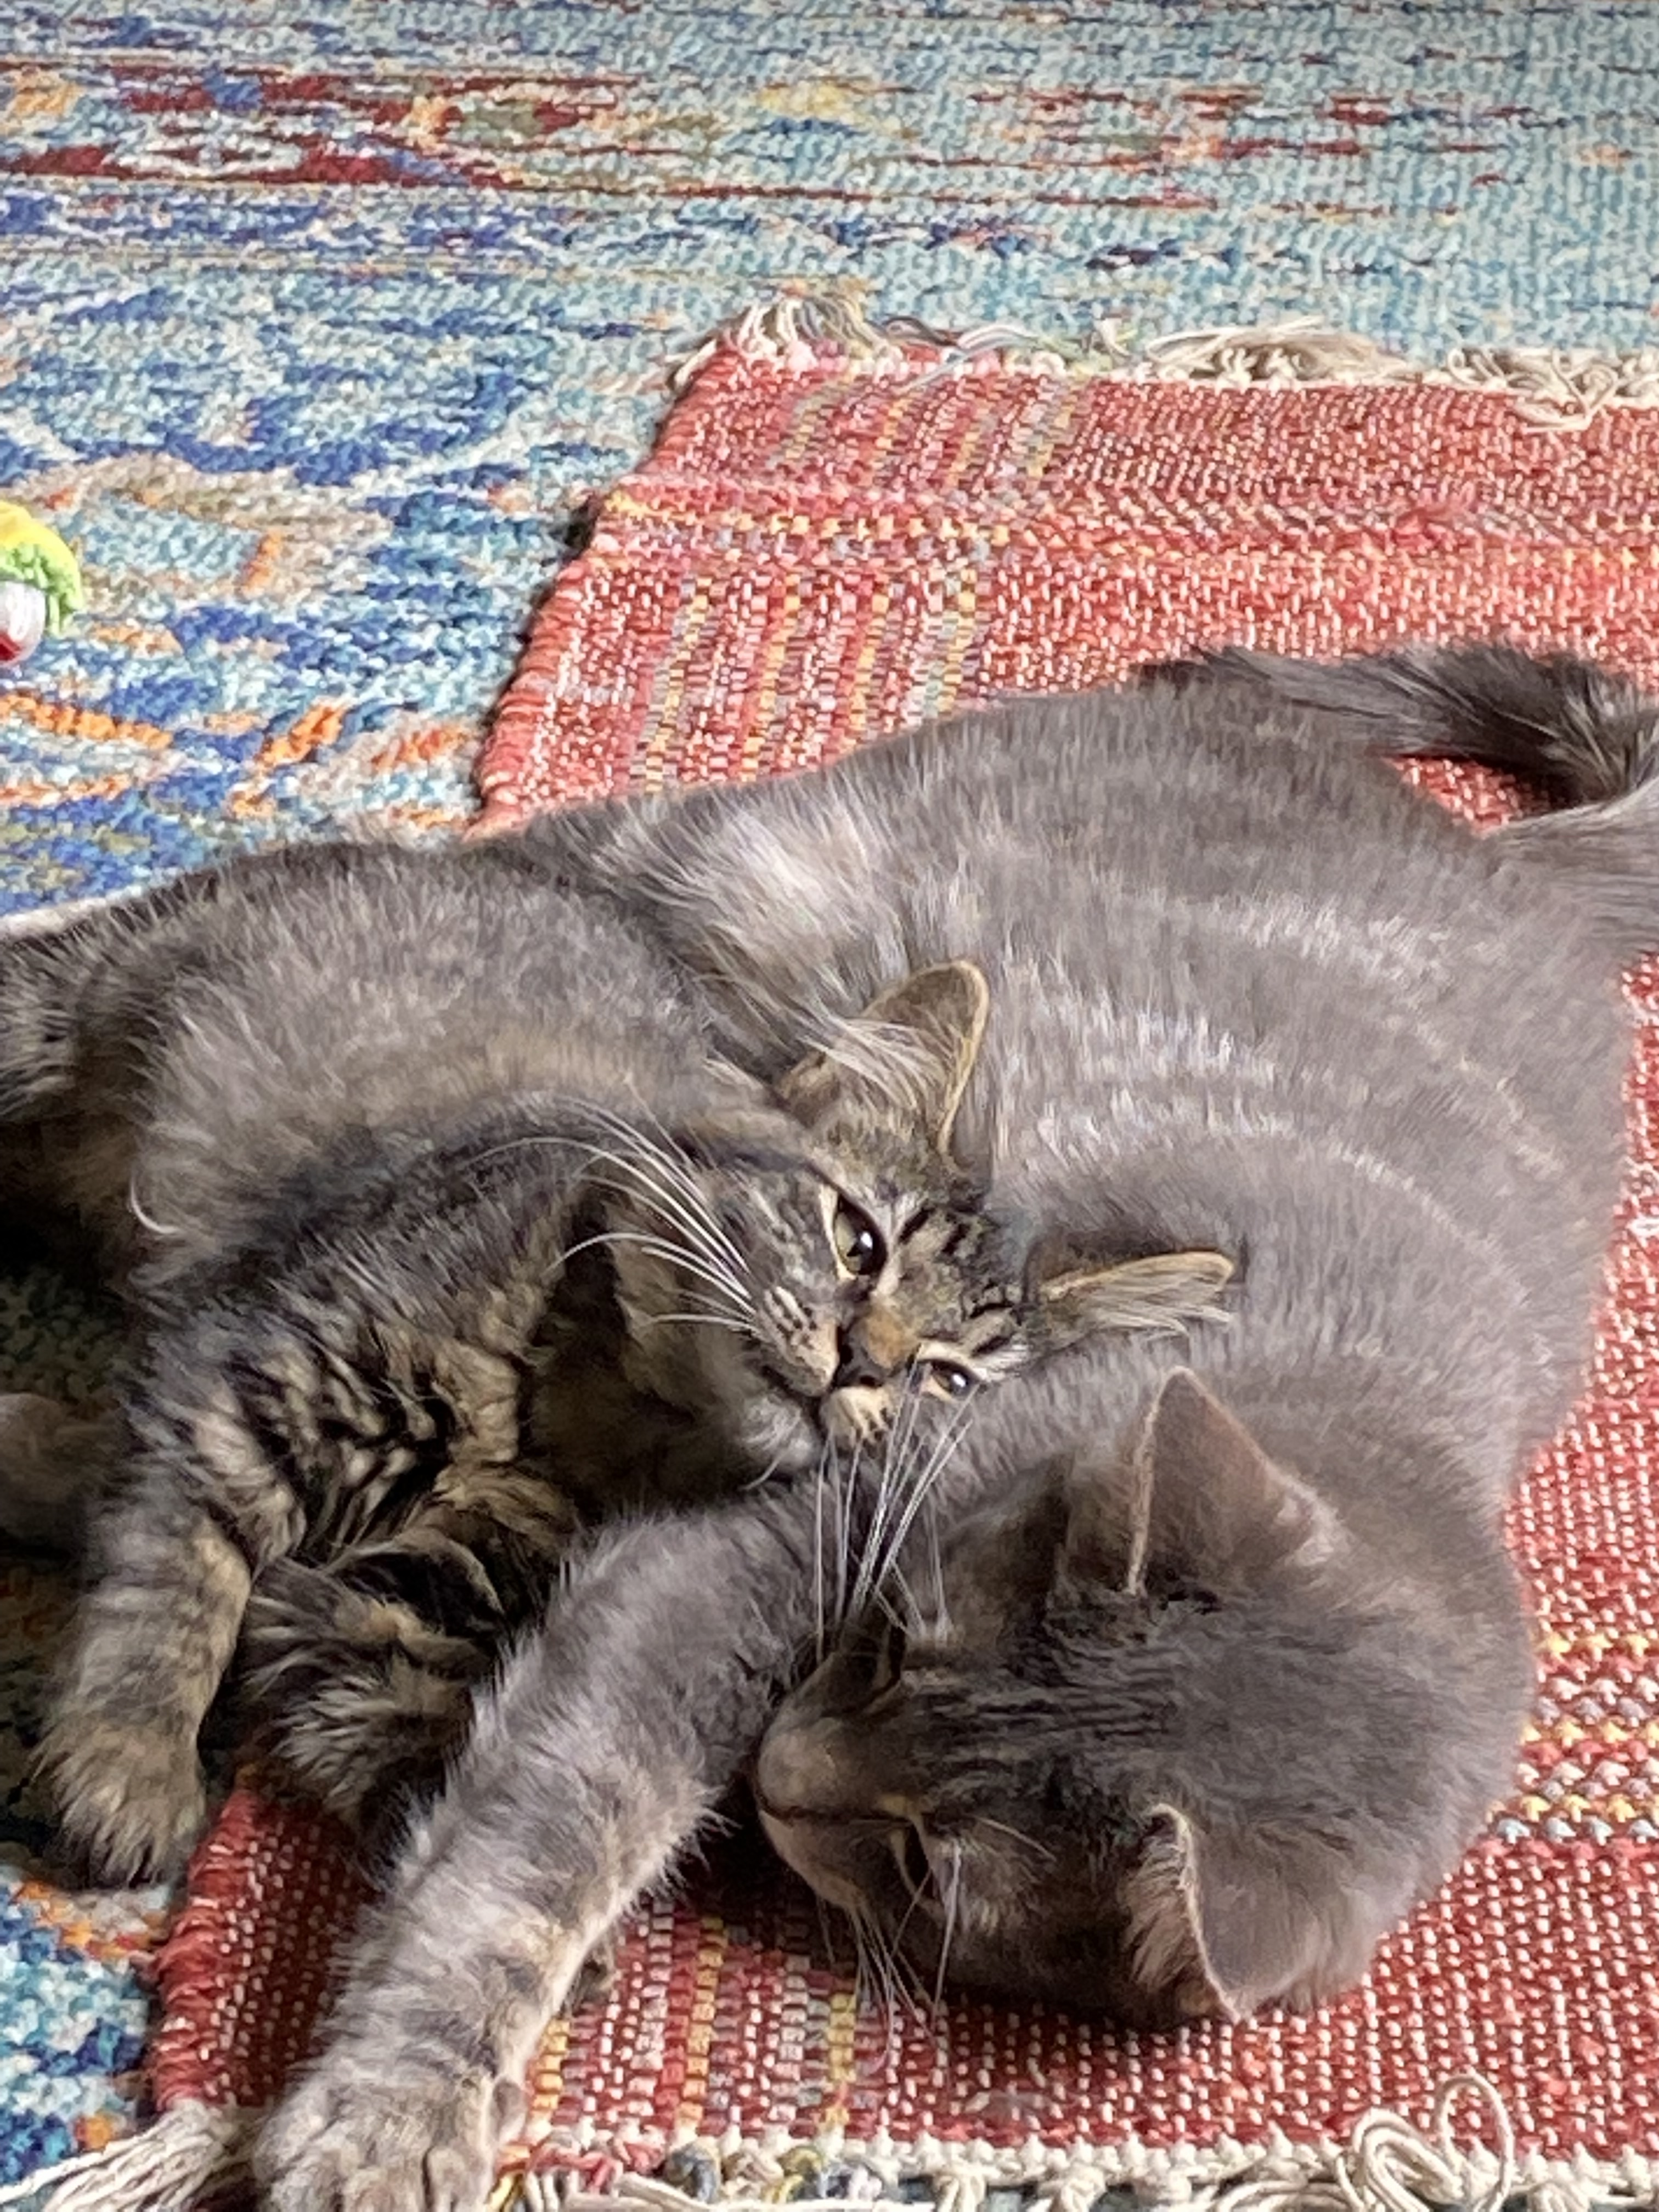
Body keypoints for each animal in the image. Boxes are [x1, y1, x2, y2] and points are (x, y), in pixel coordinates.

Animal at [0, 842, 1228, 1879]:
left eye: (950, 1381)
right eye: (859, 1242)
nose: (861, 1364)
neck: (587, 1419)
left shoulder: (392, 1610)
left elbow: (387, 1725)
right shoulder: (254, 1381)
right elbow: (172, 1591)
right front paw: (127, 1773)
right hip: (58, 1016)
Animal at [252, 642, 1659, 2212]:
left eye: (934, 1868)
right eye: (887, 1645)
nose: (776, 1777)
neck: (1384, 1430)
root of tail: (1508, 864)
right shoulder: (732, 1560)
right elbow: (536, 1857)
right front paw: (395, 2113)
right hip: (746, 866)